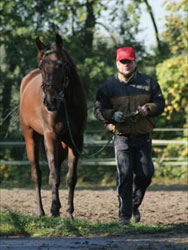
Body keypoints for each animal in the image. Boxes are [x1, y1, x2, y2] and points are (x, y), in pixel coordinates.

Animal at [19, 34, 87, 218]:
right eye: (41, 66)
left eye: (62, 64)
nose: (50, 101)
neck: (66, 105)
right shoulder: (50, 137)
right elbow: (54, 175)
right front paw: (54, 209)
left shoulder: (76, 141)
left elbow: (71, 177)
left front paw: (69, 213)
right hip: (31, 138)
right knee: (37, 174)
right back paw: (41, 211)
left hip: (62, 145)